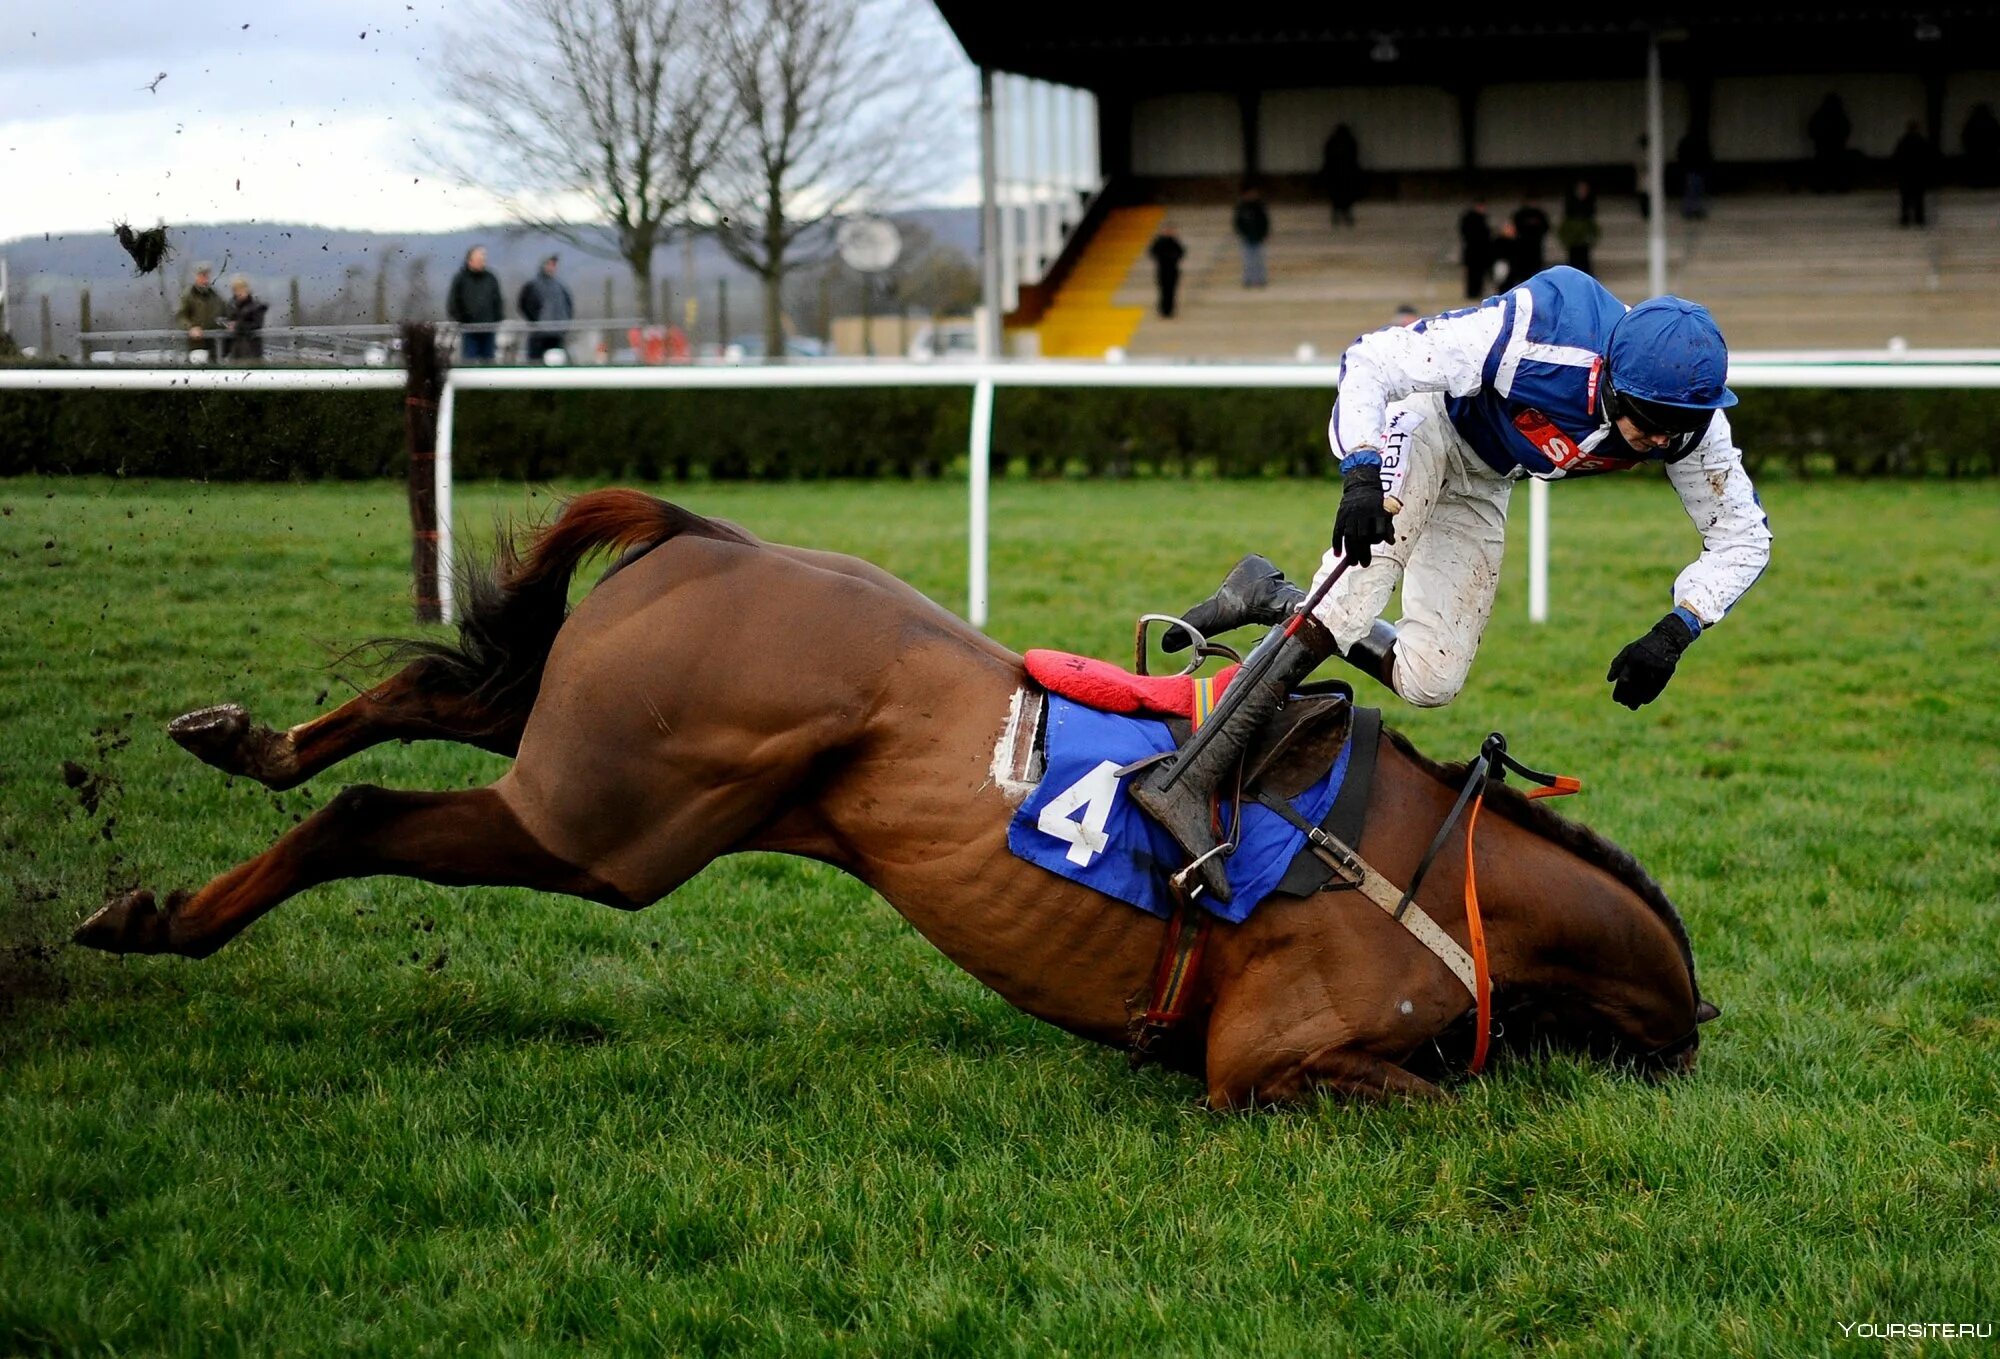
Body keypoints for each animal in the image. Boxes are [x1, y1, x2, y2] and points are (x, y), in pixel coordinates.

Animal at [70, 487, 1712, 1103]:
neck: (1441, 877)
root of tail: (711, 538)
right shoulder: (1266, 1058)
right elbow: (1439, 1102)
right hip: (607, 826)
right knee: (371, 818)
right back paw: (159, 915)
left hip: (585, 757)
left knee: (454, 693)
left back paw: (238, 742)